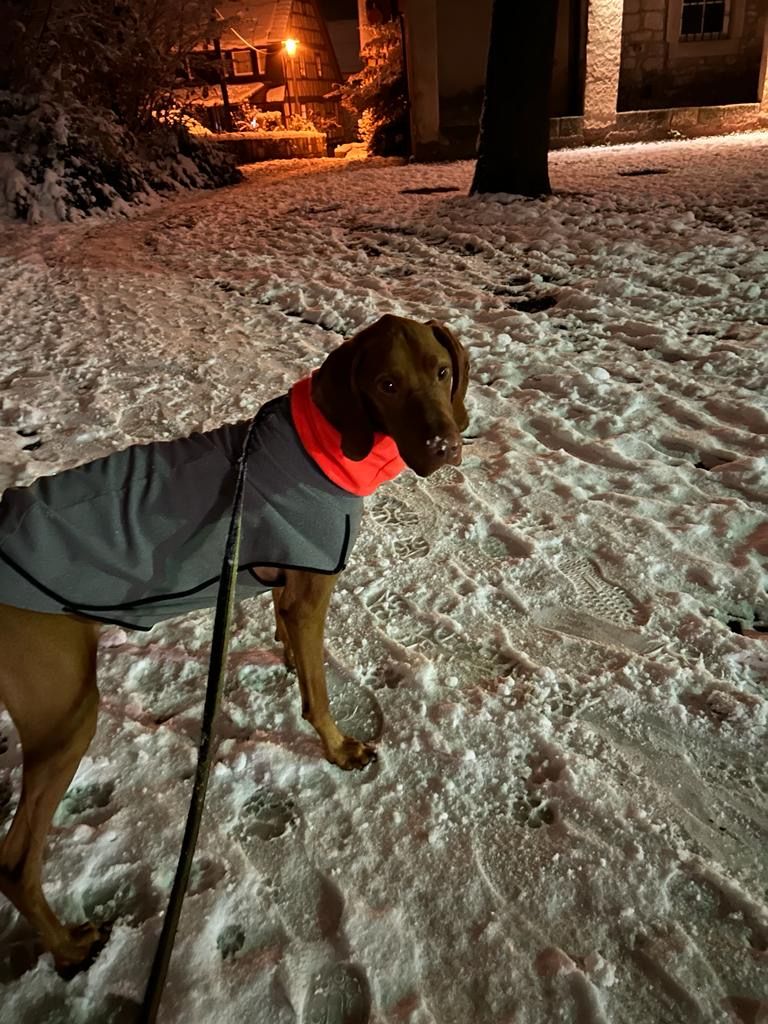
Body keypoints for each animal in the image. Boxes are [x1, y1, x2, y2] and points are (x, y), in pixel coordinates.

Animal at [0, 313, 469, 973]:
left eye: (443, 371)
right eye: (386, 384)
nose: (444, 446)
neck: (322, 444)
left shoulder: (286, 584)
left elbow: (290, 643)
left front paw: (286, 663)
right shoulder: (310, 595)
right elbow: (318, 692)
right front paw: (337, 747)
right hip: (65, 716)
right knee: (16, 861)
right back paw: (68, 947)